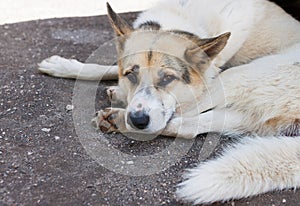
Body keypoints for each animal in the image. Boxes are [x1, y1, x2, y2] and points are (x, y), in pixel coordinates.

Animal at [37, 0, 300, 204]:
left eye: (168, 78)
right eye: (131, 74)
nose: (138, 119)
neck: (183, 19)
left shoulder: (208, 77)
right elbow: (107, 68)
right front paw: (65, 66)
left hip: (234, 77)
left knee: (180, 118)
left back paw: (120, 118)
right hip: (246, 114)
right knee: (189, 125)